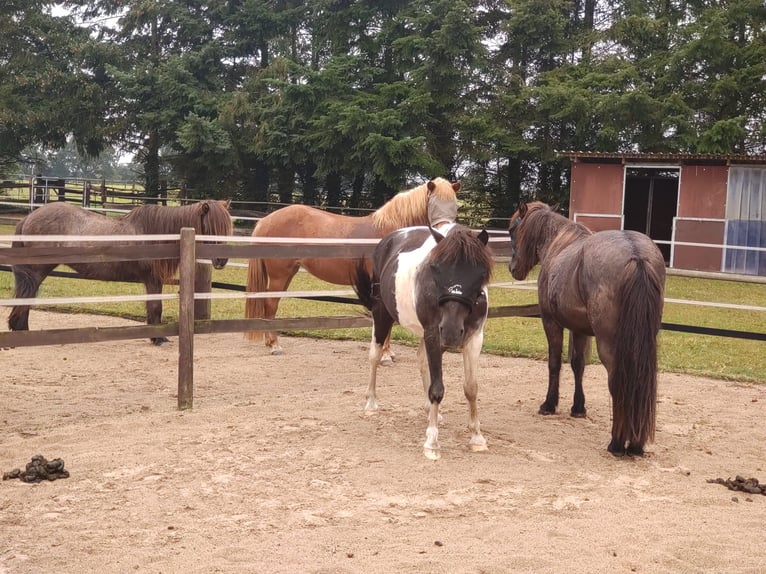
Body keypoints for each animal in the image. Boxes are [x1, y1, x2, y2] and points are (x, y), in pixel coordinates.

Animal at [7, 200, 234, 344]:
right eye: (212, 226)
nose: (221, 260)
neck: (156, 234)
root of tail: (28, 218)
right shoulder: (152, 279)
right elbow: (155, 307)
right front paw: (158, 337)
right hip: (37, 271)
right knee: (26, 297)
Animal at [246, 178, 462, 358]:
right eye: (433, 204)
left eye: (454, 205)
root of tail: (265, 220)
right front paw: (384, 354)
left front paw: (388, 352)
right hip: (279, 275)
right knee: (271, 305)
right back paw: (274, 345)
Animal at [352, 223, 496, 462]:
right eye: (436, 268)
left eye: (480, 273)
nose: (451, 331)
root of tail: (389, 239)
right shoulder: (433, 334)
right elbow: (437, 388)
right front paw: (432, 443)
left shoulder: (474, 337)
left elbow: (471, 388)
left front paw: (477, 438)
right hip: (382, 314)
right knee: (374, 355)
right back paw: (371, 403)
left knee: (421, 360)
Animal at [510, 202, 664, 460]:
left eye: (512, 230)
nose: (513, 268)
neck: (558, 243)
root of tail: (637, 255)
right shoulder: (579, 329)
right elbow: (578, 365)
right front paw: (578, 407)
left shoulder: (551, 322)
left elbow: (555, 363)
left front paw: (549, 404)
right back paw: (636, 444)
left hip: (609, 346)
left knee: (617, 383)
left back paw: (617, 443)